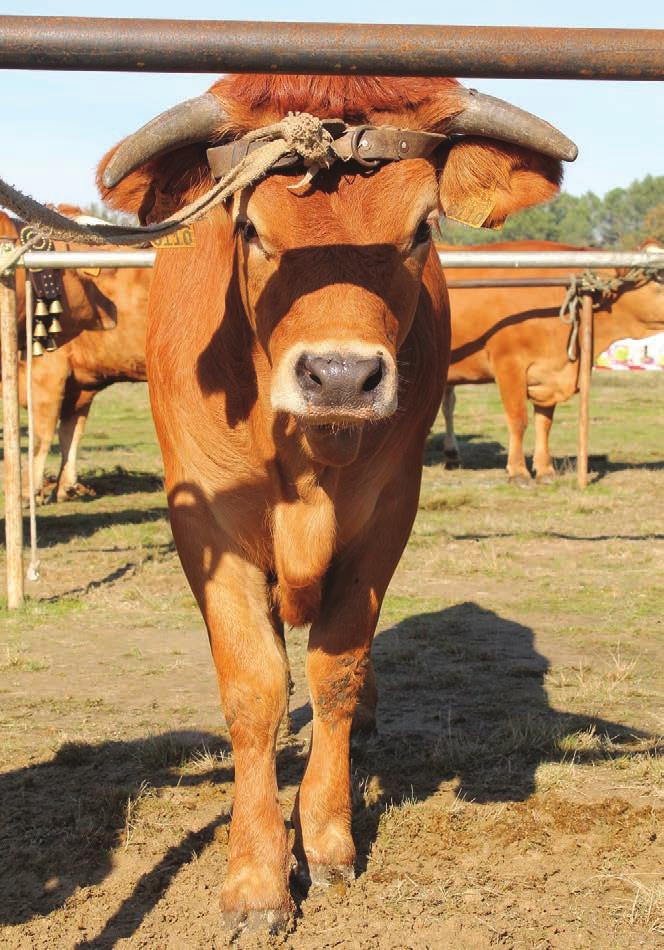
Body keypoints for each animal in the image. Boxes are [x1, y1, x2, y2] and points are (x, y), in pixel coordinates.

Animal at [440, 240, 664, 484]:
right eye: (658, 277)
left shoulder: (548, 375)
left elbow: (544, 423)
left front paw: (545, 470)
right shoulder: (509, 365)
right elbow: (518, 419)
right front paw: (518, 471)